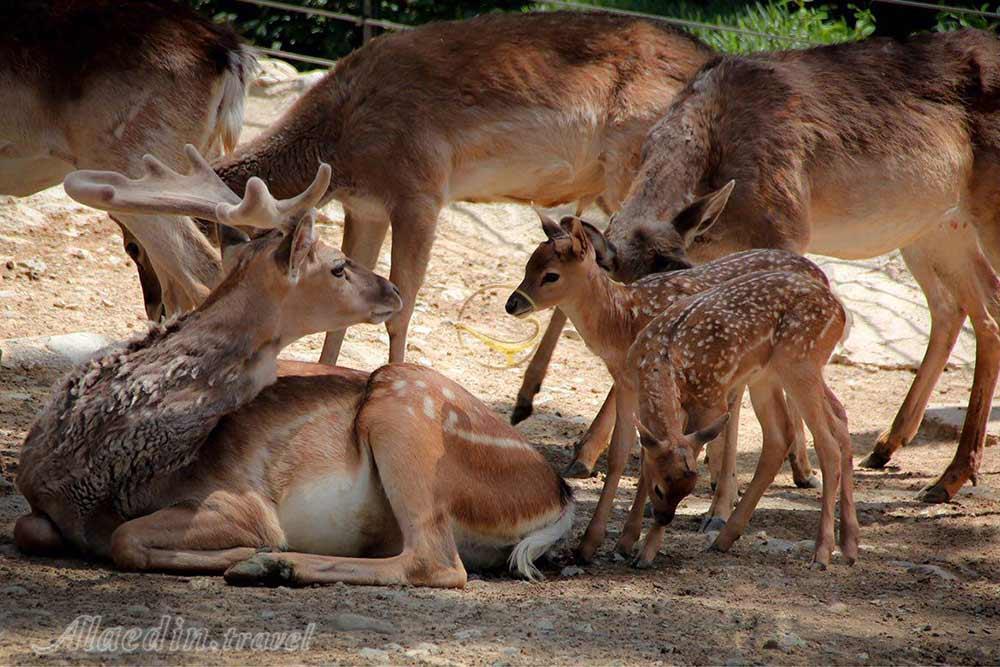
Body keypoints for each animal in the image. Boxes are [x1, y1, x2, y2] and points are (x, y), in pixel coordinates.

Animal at [15, 147, 576, 588]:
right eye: (338, 266)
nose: (392, 290)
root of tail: (559, 495)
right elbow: (33, 528)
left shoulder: (240, 498)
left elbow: (124, 538)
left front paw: (255, 550)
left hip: (404, 410)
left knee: (435, 562)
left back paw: (270, 566)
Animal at [508, 217, 828, 560]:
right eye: (528, 264)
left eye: (550, 275)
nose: (512, 303)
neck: (622, 321)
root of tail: (821, 274)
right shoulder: (629, 383)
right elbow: (623, 453)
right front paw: (594, 542)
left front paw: (631, 537)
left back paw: (722, 513)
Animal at [624, 270, 860, 568]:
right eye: (659, 489)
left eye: (687, 491)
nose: (664, 518)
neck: (662, 360)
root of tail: (840, 311)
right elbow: (645, 461)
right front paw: (625, 541)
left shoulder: (712, 402)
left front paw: (645, 554)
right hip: (771, 374)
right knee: (817, 425)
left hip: (799, 360)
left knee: (826, 444)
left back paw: (822, 553)